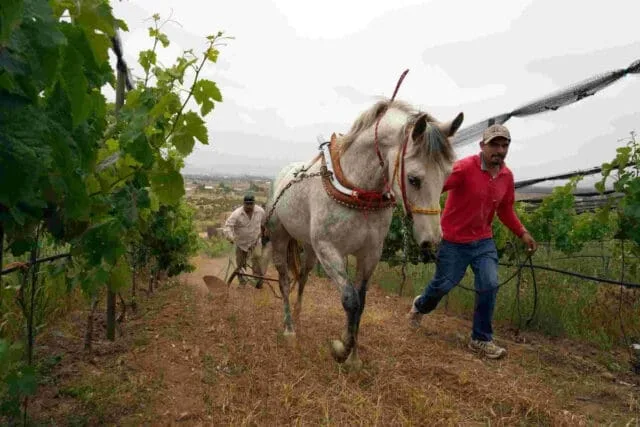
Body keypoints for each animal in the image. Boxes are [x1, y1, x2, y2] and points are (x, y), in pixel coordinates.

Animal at [262, 98, 462, 370]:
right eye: (413, 179)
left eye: (447, 176)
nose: (432, 240)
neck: (356, 188)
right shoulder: (329, 250)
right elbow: (350, 300)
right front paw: (341, 349)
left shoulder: (369, 254)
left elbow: (361, 303)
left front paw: (354, 357)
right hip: (281, 238)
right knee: (284, 281)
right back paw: (289, 329)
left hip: (310, 250)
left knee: (302, 277)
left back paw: (299, 315)